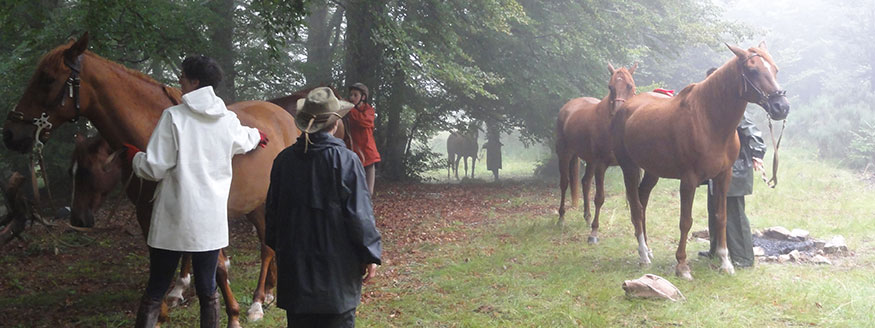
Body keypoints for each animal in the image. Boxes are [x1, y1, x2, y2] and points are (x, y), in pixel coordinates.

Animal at [1, 34, 298, 326]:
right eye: (71, 172)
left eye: (47, 79)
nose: (11, 134)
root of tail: (282, 115)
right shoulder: (149, 216)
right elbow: (162, 265)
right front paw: (164, 309)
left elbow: (218, 269)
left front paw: (232, 314)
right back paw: (267, 293)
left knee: (266, 247)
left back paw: (258, 302)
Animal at [556, 63, 640, 243]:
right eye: (610, 87)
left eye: (630, 86)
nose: (618, 112)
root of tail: (567, 107)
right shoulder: (601, 164)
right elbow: (600, 197)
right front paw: (594, 233)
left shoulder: (629, 166)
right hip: (564, 153)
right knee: (564, 183)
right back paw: (561, 218)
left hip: (590, 160)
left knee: (585, 183)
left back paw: (587, 217)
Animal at [612, 42, 792, 280]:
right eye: (753, 70)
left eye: (775, 69)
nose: (782, 106)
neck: (708, 120)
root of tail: (626, 106)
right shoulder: (688, 180)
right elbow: (685, 221)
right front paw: (682, 266)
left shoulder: (724, 176)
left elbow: (721, 217)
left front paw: (725, 263)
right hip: (629, 167)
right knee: (635, 206)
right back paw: (643, 255)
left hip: (652, 170)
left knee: (642, 203)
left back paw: (648, 250)